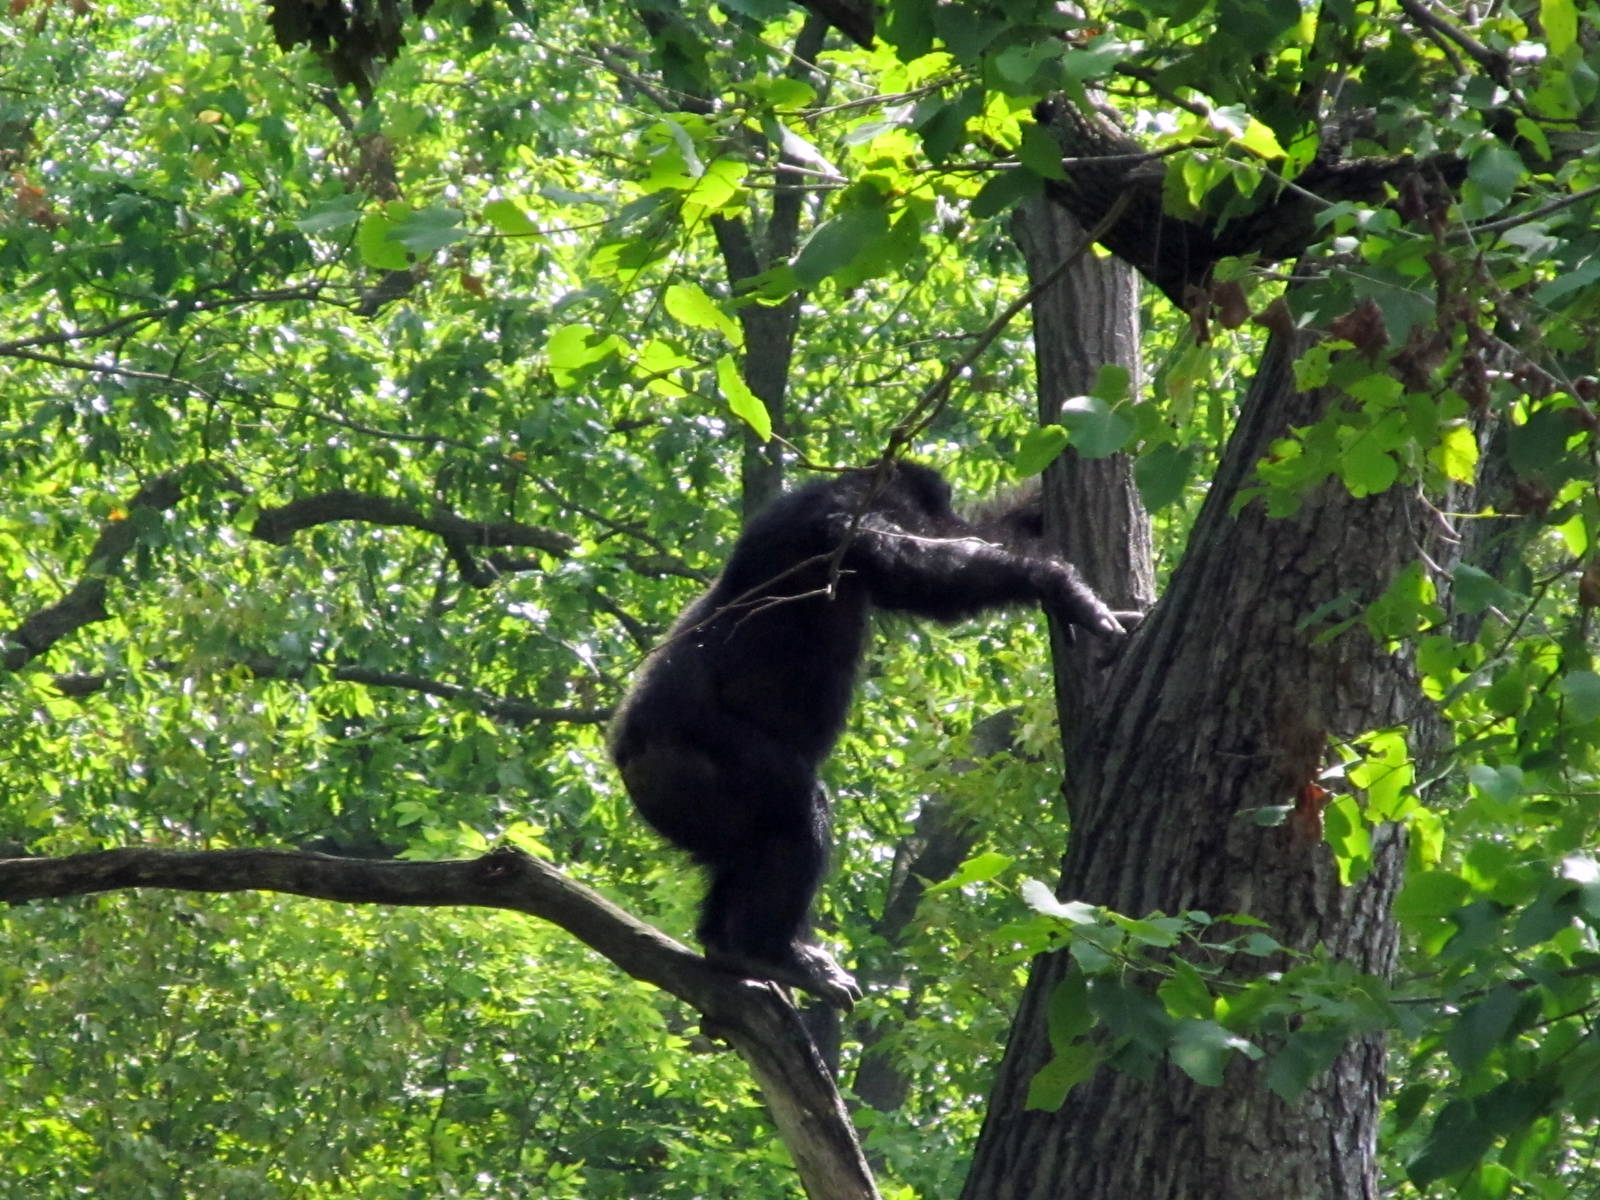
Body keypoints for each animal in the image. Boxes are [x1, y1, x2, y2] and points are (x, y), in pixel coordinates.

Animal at [609, 460, 1131, 1007]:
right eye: (937, 504)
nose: (949, 516)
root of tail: (630, 767)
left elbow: (987, 533)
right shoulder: (843, 521)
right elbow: (924, 567)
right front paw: (1062, 588)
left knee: (741, 856)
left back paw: (726, 946)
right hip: (702, 768)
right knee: (797, 814)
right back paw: (767, 952)